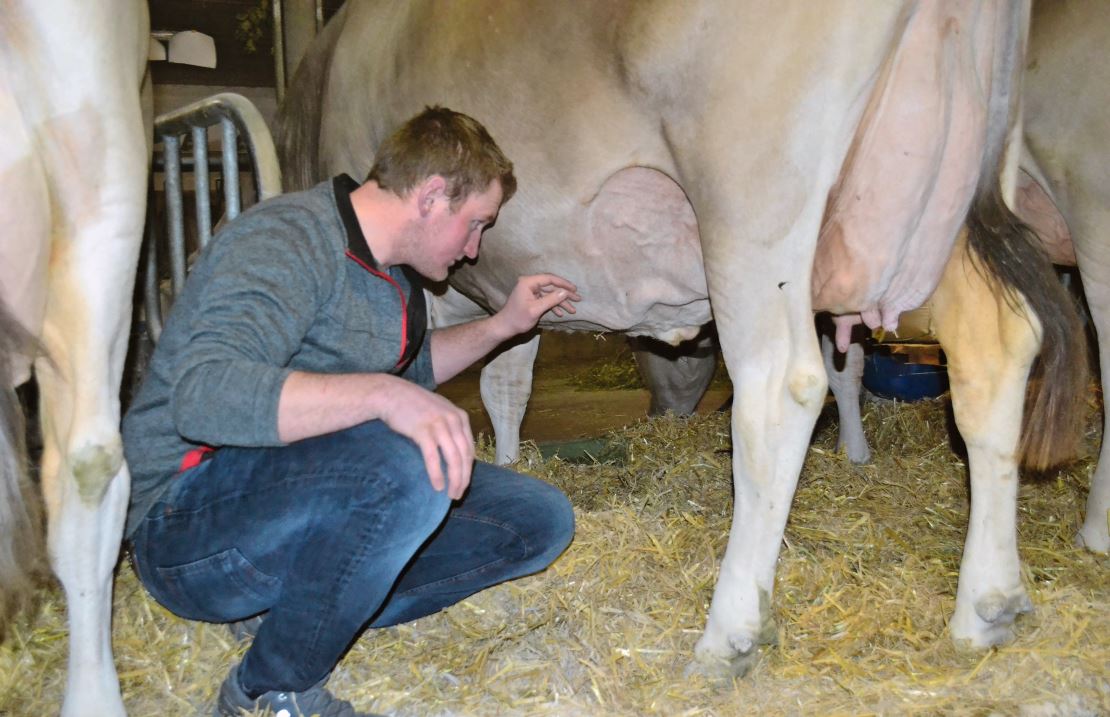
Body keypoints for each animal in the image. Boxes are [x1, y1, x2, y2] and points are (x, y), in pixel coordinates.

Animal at [279, 0, 1083, 674]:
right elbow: (508, 377)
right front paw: (508, 463)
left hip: (751, 211)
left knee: (780, 391)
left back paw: (729, 633)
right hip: (939, 200)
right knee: (996, 346)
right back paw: (989, 606)